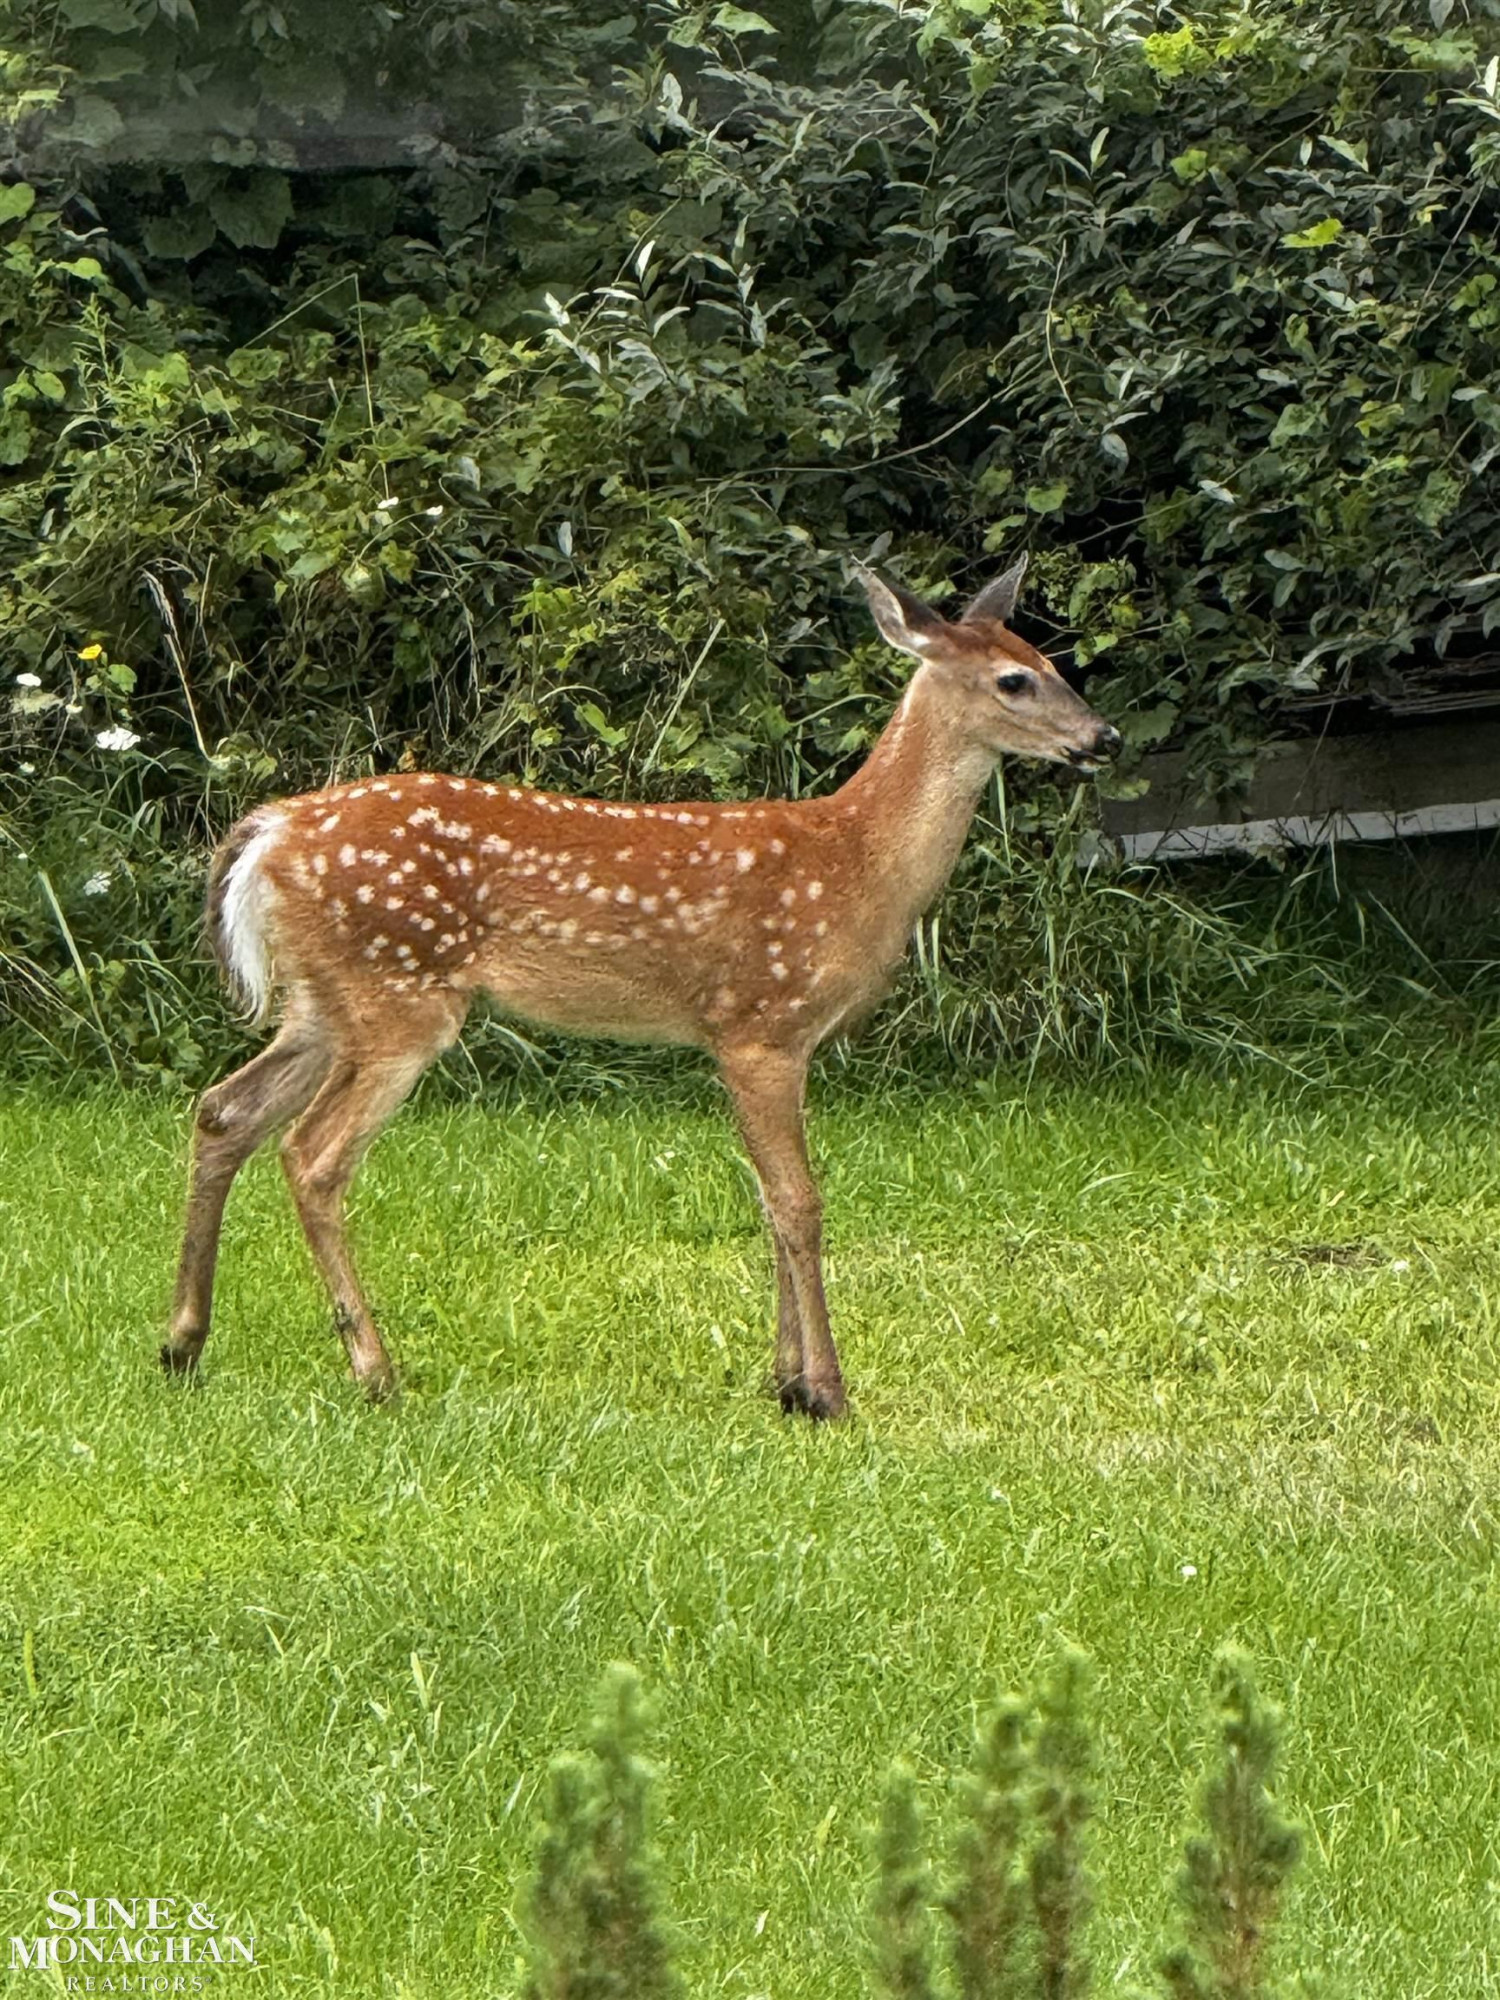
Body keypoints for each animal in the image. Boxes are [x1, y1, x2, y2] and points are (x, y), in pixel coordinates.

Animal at [163, 556, 1121, 1419]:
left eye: (1052, 660)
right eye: (1014, 680)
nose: (1103, 739)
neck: (855, 862)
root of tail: (268, 832)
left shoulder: (758, 1042)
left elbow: (767, 1200)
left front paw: (786, 1385)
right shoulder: (761, 1025)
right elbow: (800, 1204)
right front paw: (827, 1391)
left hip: (325, 1001)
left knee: (224, 1109)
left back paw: (183, 1344)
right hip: (400, 993)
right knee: (312, 1155)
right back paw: (374, 1372)